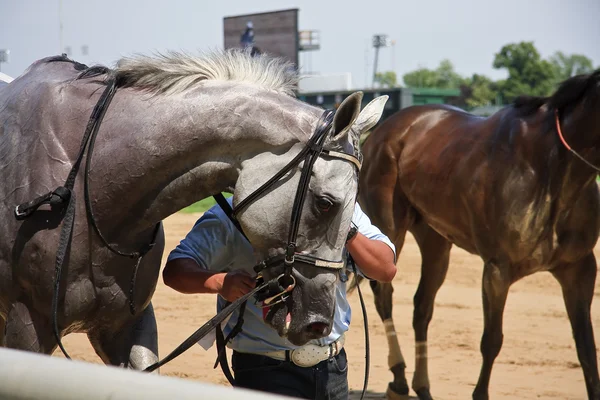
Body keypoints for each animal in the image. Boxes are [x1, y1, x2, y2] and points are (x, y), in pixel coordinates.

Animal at [358, 71, 596, 400]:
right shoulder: (497, 268)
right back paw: (399, 377)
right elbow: (492, 340)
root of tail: (387, 128)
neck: (551, 169)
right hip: (390, 226)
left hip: (435, 239)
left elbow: (587, 349)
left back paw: (422, 386)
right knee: (384, 294)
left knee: (422, 307)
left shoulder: (579, 269)